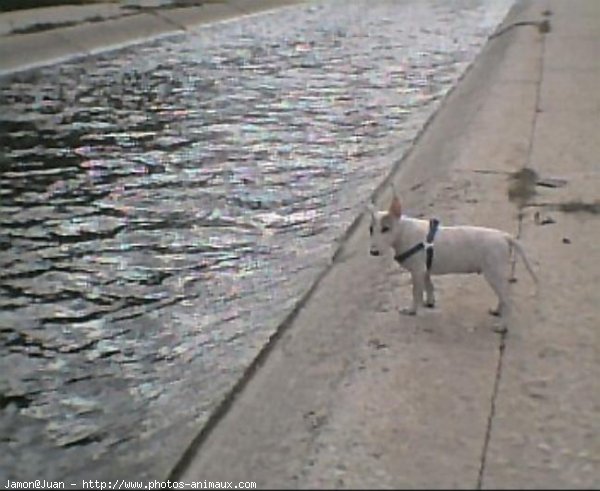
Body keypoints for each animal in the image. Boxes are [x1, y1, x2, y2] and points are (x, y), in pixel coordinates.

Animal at [368, 192, 536, 320]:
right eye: (370, 229)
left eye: (386, 229)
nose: (373, 252)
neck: (403, 231)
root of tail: (504, 236)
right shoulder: (424, 270)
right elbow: (429, 286)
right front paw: (429, 302)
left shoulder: (416, 272)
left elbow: (416, 293)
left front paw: (411, 310)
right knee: (503, 297)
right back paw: (496, 311)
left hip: (494, 273)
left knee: (507, 299)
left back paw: (501, 325)